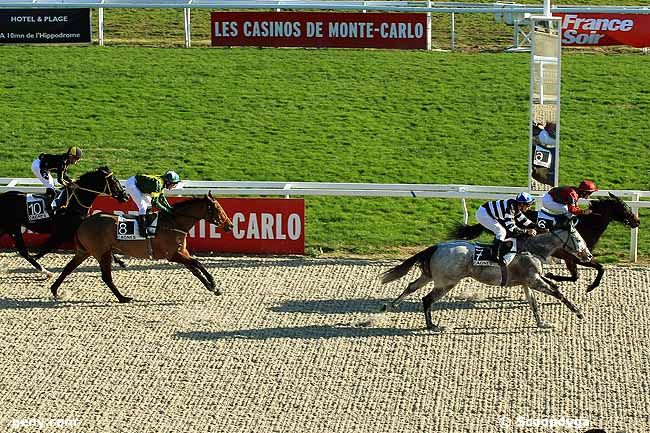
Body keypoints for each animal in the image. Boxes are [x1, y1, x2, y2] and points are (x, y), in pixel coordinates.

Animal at [0, 165, 128, 276]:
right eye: (114, 181)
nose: (126, 196)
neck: (73, 203)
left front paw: (121, 262)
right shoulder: (64, 232)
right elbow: (45, 248)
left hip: (7, 228)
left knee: (23, 251)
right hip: (12, 227)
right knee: (24, 251)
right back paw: (46, 272)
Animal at [50, 194, 233, 302]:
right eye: (217, 209)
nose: (230, 225)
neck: (174, 223)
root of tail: (83, 221)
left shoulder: (181, 252)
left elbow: (195, 268)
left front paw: (212, 287)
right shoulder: (172, 255)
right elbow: (197, 263)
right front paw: (214, 284)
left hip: (85, 251)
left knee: (68, 268)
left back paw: (55, 290)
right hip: (102, 253)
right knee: (106, 277)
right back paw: (123, 298)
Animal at [380, 224, 592, 330]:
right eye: (578, 238)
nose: (588, 256)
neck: (533, 249)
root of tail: (437, 247)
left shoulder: (527, 282)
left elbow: (534, 303)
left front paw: (543, 323)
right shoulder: (534, 280)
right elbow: (557, 292)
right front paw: (579, 312)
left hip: (431, 276)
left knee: (411, 286)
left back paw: (390, 305)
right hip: (447, 282)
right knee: (427, 299)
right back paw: (433, 326)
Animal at [450, 193, 636, 292]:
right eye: (625, 208)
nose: (637, 221)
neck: (586, 225)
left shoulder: (574, 257)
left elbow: (577, 276)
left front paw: (552, 277)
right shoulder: (574, 257)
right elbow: (596, 269)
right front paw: (589, 286)